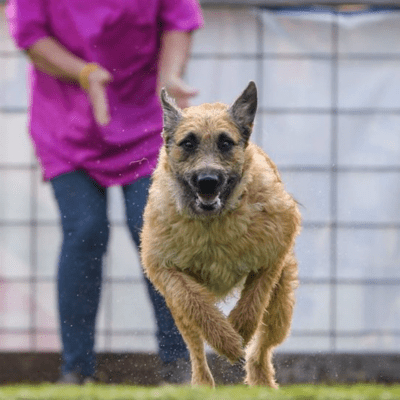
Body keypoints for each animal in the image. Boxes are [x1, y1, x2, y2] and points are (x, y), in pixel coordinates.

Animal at [141, 82, 300, 388]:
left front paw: (239, 331)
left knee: (261, 349)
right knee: (195, 347)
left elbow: (253, 301)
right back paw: (203, 383)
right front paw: (226, 341)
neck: (212, 222)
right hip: (177, 311)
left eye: (225, 143)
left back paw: (262, 383)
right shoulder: (166, 269)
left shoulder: (272, 256)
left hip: (280, 308)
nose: (207, 181)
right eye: (188, 143)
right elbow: (197, 305)